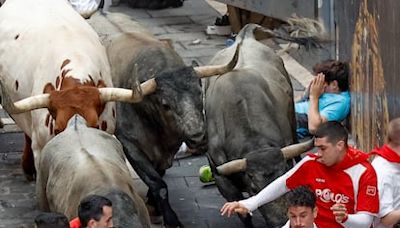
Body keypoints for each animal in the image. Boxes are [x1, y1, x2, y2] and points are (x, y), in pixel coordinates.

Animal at [103, 31, 239, 227]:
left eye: (200, 93)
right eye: (165, 104)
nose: (198, 138)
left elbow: (159, 174)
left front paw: (154, 204)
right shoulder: (129, 144)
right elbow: (158, 183)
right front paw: (170, 218)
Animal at [205, 24, 314, 227]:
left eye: (282, 178)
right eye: (254, 188)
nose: (281, 221)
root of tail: (244, 36)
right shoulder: (222, 179)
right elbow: (242, 212)